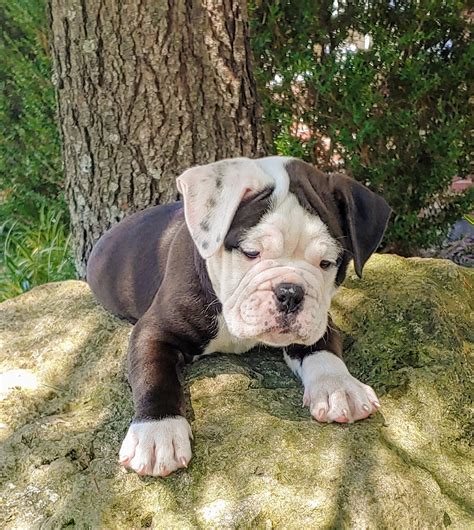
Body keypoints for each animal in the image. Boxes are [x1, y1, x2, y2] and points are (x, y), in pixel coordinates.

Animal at [87, 155, 390, 476]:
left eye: (327, 263)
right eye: (251, 252)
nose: (290, 293)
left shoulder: (320, 319)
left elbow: (323, 348)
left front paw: (339, 387)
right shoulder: (154, 330)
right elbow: (153, 372)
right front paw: (157, 433)